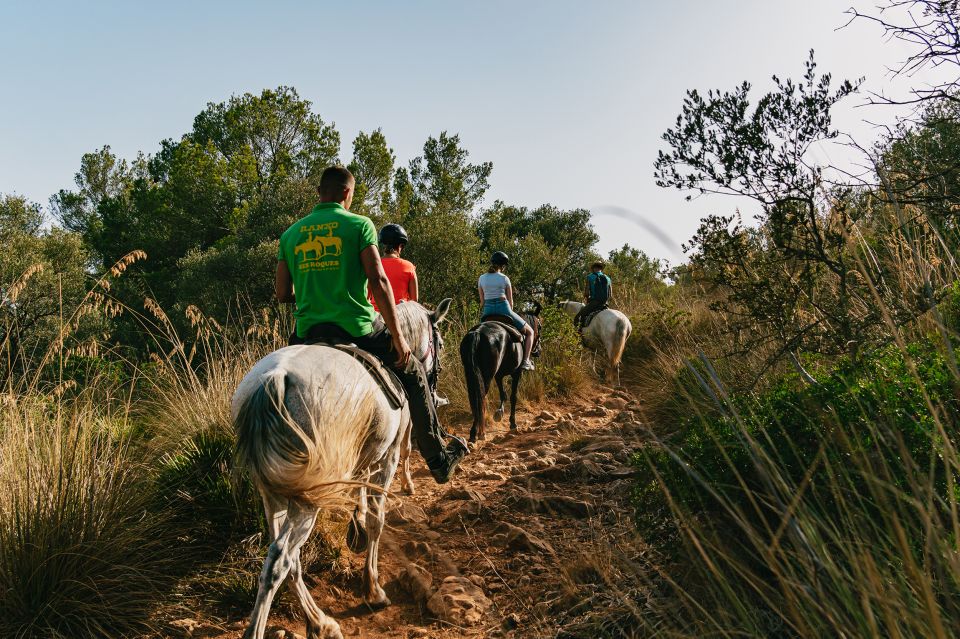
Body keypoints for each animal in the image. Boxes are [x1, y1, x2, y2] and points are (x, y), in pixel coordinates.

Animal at [232, 300, 450, 639]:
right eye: (438, 340)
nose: (435, 376)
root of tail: (275, 379)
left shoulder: (363, 454)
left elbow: (361, 490)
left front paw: (355, 527)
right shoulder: (387, 456)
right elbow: (377, 519)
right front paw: (373, 589)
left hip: (274, 489)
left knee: (290, 558)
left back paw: (320, 622)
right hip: (307, 496)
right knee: (280, 558)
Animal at [458, 308, 540, 442]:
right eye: (540, 326)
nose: (538, 351)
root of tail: (477, 333)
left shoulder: (499, 375)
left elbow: (503, 394)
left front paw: (499, 413)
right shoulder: (517, 373)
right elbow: (513, 396)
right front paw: (512, 423)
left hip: (471, 374)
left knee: (475, 398)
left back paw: (475, 432)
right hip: (486, 376)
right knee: (480, 397)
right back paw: (478, 433)